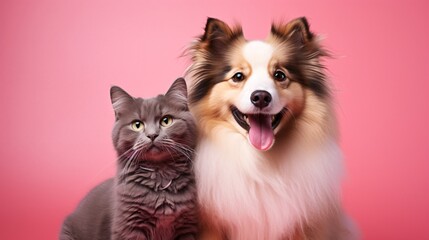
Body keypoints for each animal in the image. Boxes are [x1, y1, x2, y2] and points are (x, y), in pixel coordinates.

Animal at [59, 78, 198, 239]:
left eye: (166, 120)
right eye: (137, 125)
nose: (152, 135)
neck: (160, 175)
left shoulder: (186, 227)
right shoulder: (129, 227)